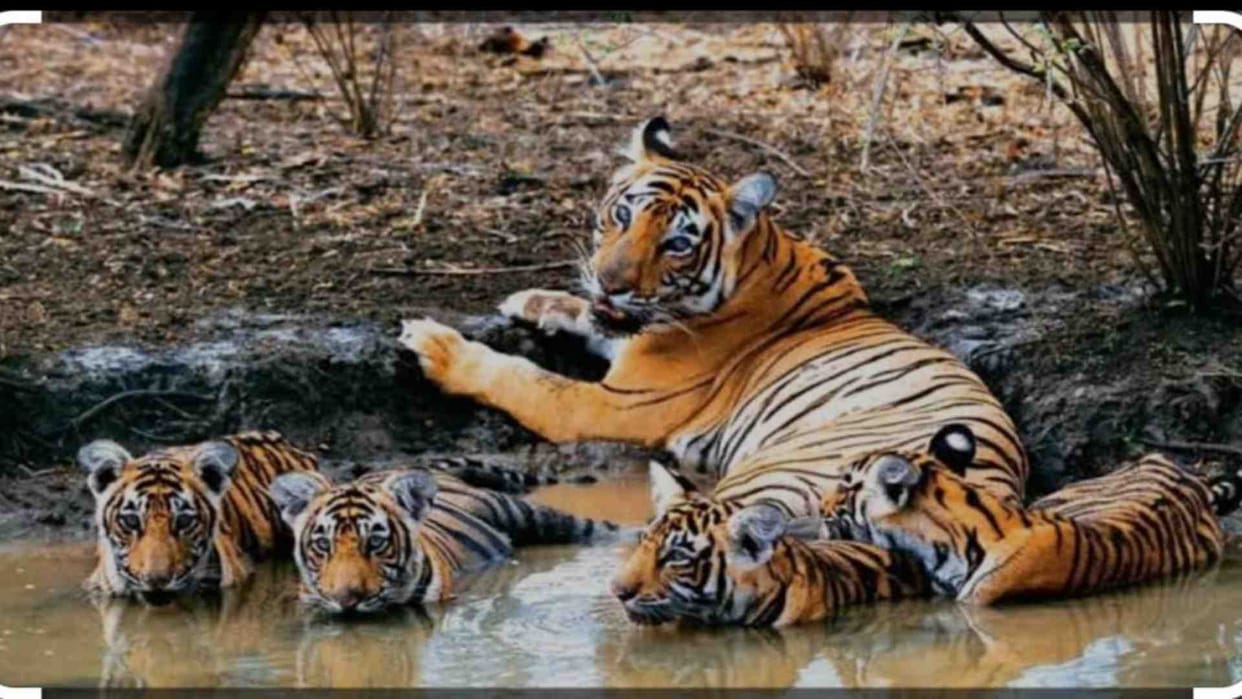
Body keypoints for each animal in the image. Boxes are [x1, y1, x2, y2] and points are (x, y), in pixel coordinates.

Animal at [397, 116, 1027, 522]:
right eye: (622, 214)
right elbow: (588, 317)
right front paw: (532, 301)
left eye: (677, 243)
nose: (613, 281)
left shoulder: (610, 405)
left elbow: (525, 378)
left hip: (776, 471)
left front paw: (437, 344)